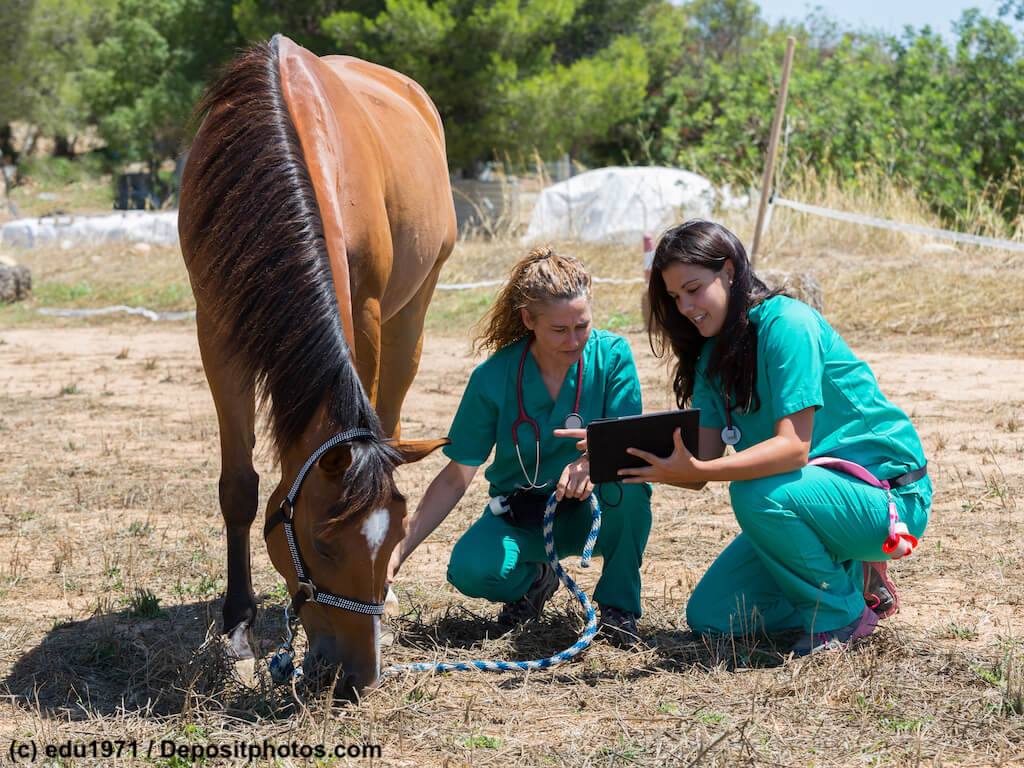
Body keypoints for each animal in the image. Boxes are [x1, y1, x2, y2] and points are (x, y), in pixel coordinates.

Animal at [178, 34, 455, 695]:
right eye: (324, 547)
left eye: (396, 534)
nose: (357, 676)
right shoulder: (216, 330)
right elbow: (238, 488)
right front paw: (238, 628)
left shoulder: (368, 311)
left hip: (415, 309)